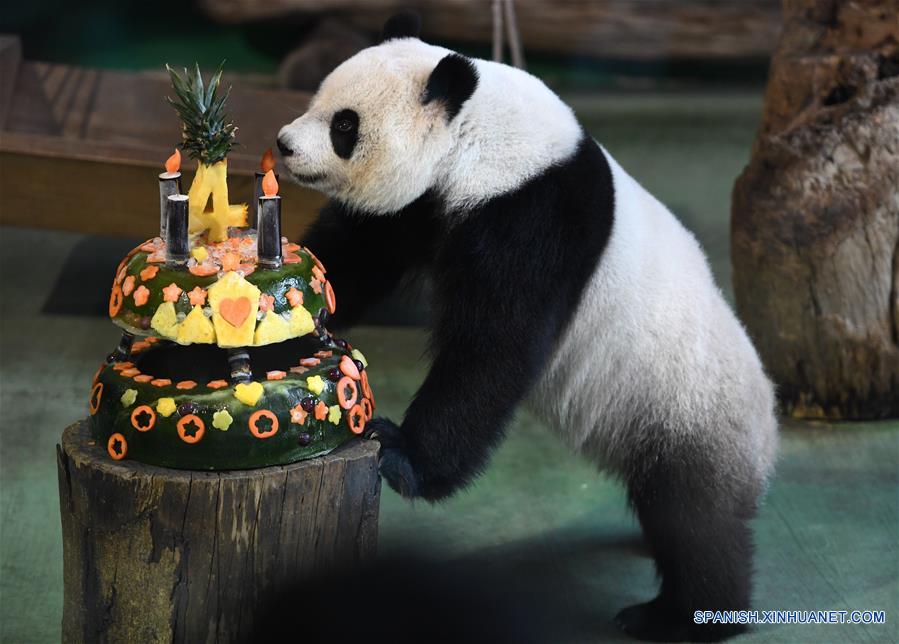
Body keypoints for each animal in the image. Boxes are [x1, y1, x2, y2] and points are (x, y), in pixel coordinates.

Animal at [278, 12, 776, 640]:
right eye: (316, 98)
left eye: (345, 124)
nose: (284, 144)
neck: (478, 136)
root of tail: (768, 438)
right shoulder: (420, 208)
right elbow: (356, 258)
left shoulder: (530, 212)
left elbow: (496, 347)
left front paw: (401, 454)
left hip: (688, 410)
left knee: (693, 519)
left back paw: (681, 614)